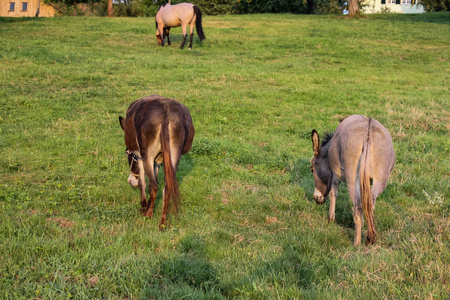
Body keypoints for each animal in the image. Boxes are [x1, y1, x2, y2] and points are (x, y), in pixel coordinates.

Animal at [119, 95, 195, 230]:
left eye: (128, 153)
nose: (130, 181)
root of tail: (166, 110)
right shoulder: (158, 161)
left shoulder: (140, 156)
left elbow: (143, 182)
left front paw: (144, 205)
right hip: (174, 154)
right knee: (167, 188)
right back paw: (162, 224)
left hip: (147, 154)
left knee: (153, 185)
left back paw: (148, 215)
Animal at [312, 115, 396, 246]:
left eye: (312, 169)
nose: (316, 198)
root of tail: (368, 134)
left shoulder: (335, 175)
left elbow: (333, 194)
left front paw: (331, 218)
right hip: (380, 180)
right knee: (369, 204)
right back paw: (370, 238)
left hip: (352, 179)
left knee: (357, 208)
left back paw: (357, 243)